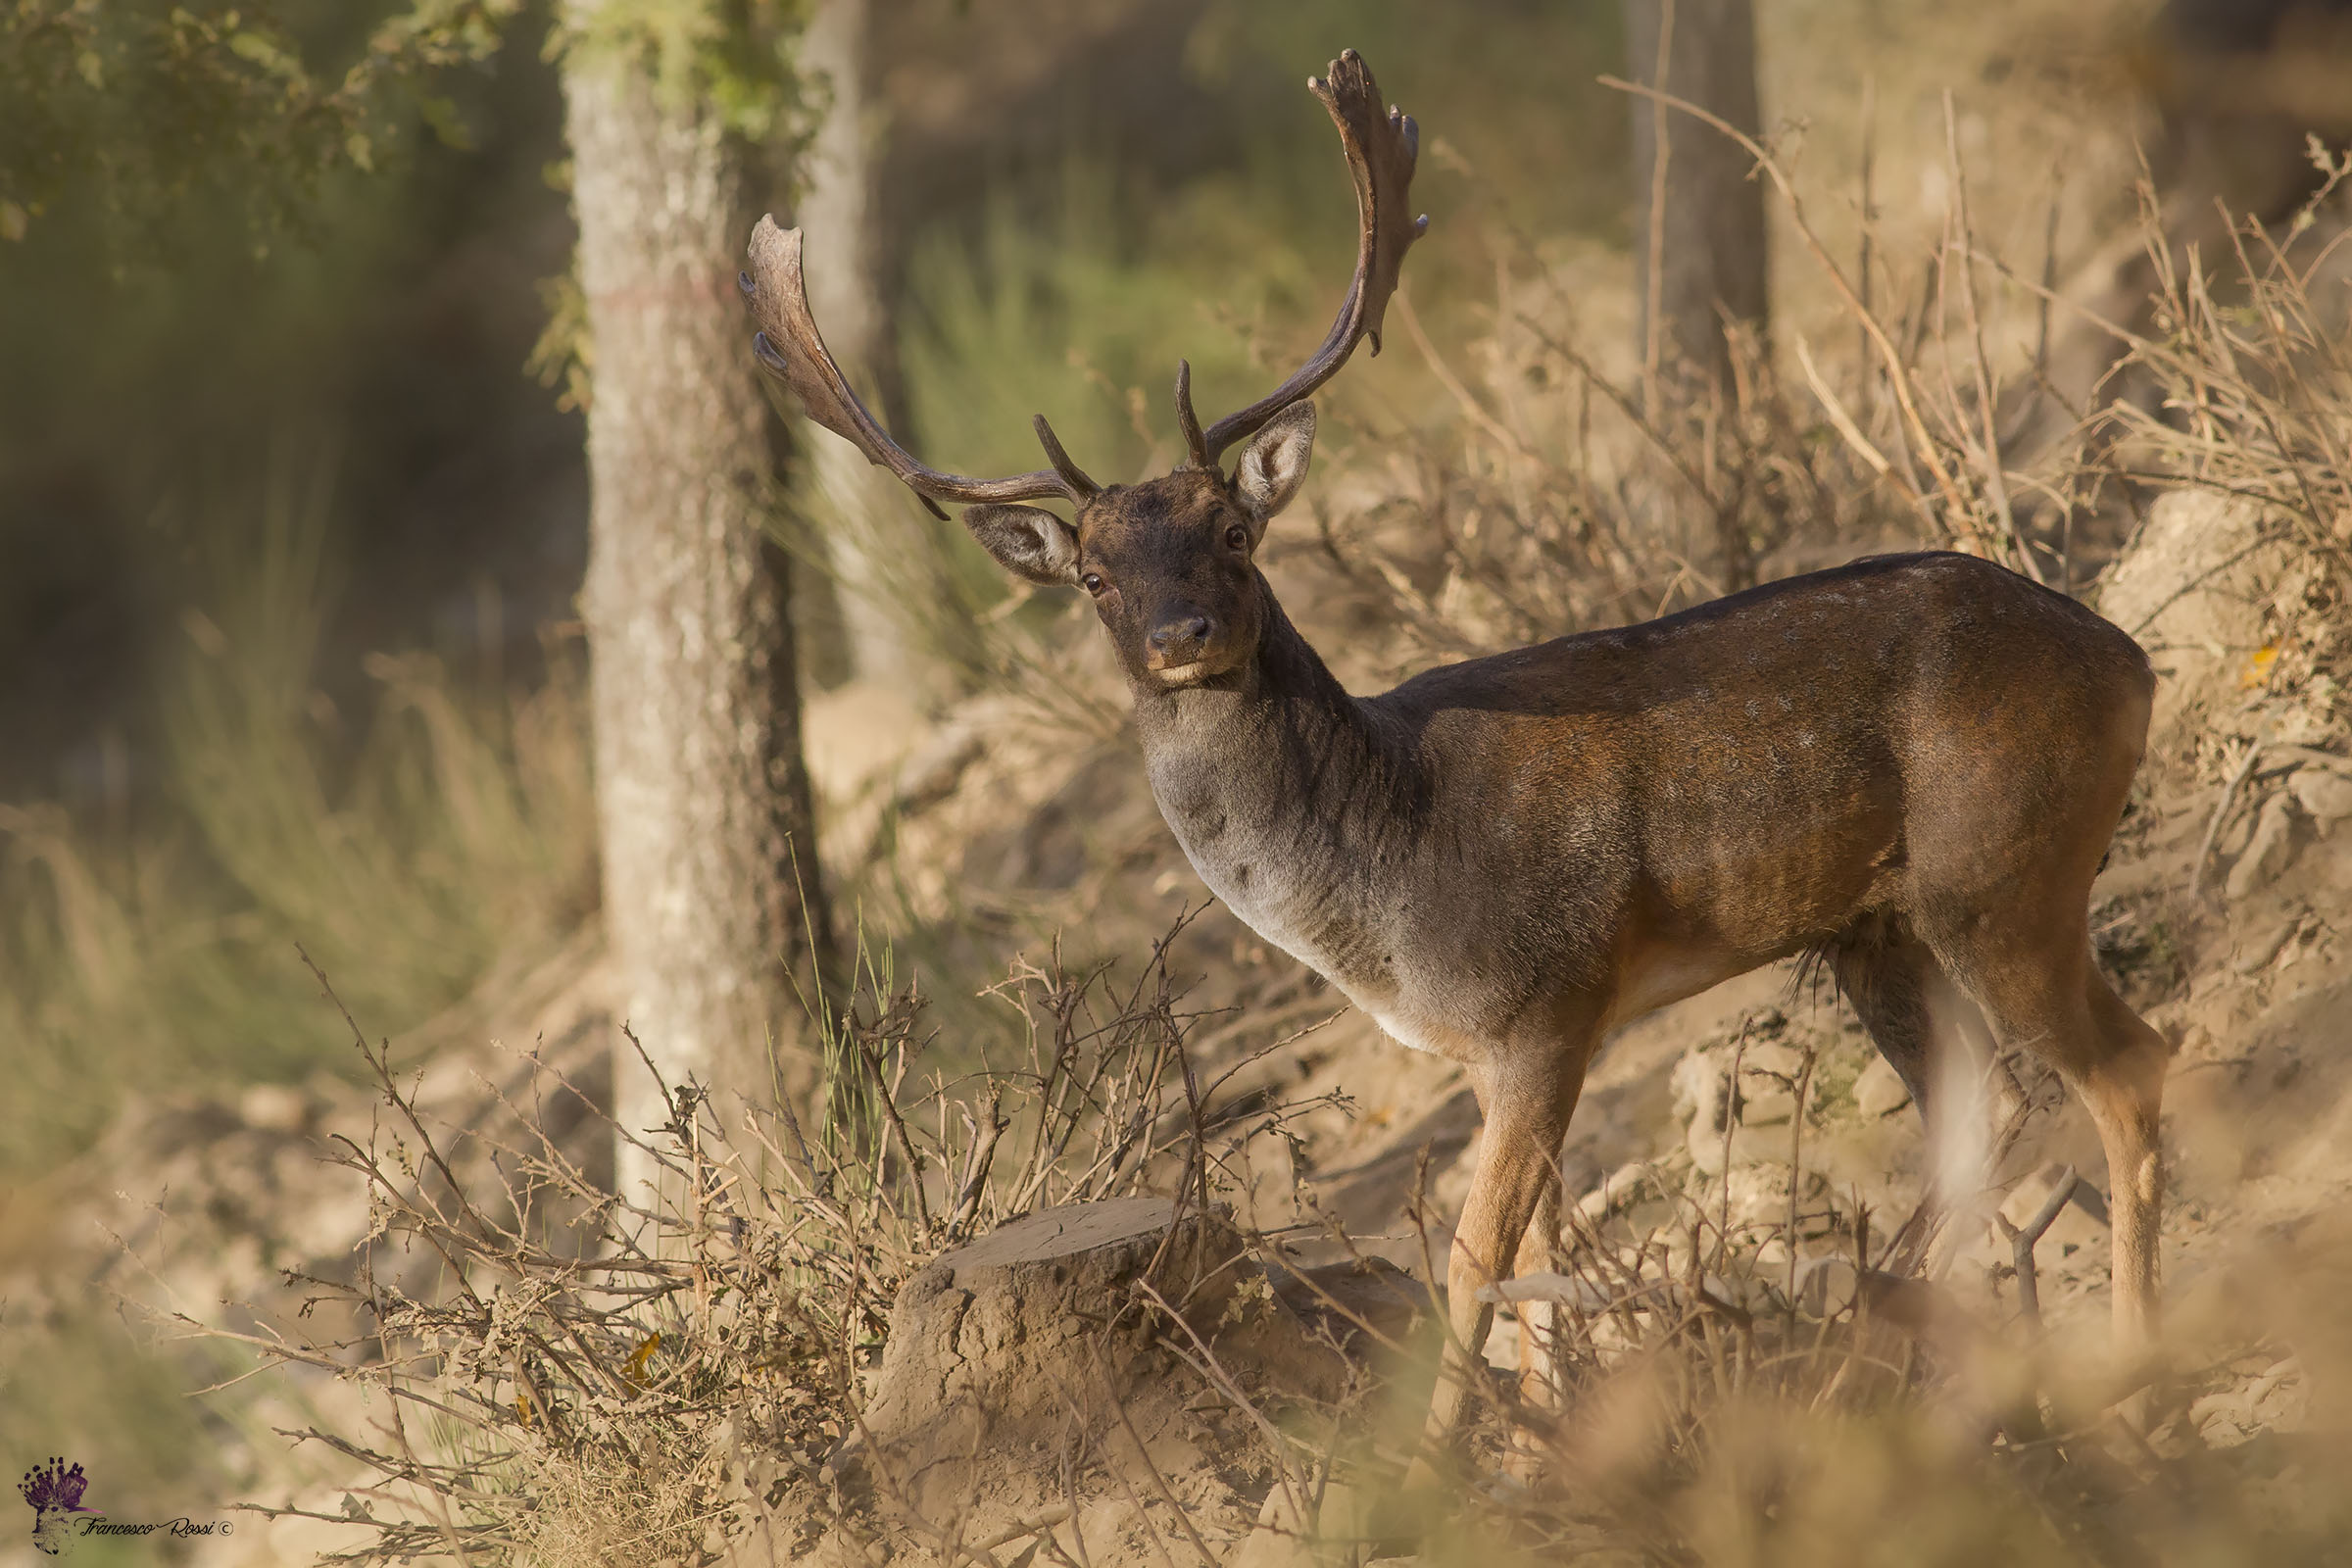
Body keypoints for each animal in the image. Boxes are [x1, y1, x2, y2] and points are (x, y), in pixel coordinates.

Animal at [739, 49, 2170, 1484]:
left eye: (1235, 531)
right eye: (1093, 574)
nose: (1183, 633)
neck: (1388, 890)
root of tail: (2133, 660)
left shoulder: (1543, 1000)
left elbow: (1478, 1261)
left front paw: (1438, 1472)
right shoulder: (1507, 1047)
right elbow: (1539, 1255)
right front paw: (1544, 1448)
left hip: (2005, 870)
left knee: (2126, 1069)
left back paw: (2118, 1373)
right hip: (1877, 925)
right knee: (1986, 1117)